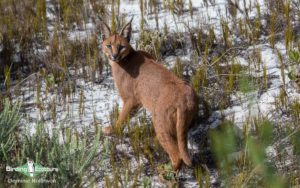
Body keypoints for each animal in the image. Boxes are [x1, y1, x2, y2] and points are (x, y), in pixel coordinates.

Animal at [101, 18, 199, 170]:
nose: (115, 55)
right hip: (181, 124)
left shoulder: (130, 99)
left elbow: (122, 118)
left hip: (160, 123)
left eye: (121, 46)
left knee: (176, 154)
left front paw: (112, 130)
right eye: (109, 45)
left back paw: (164, 171)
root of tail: (184, 98)